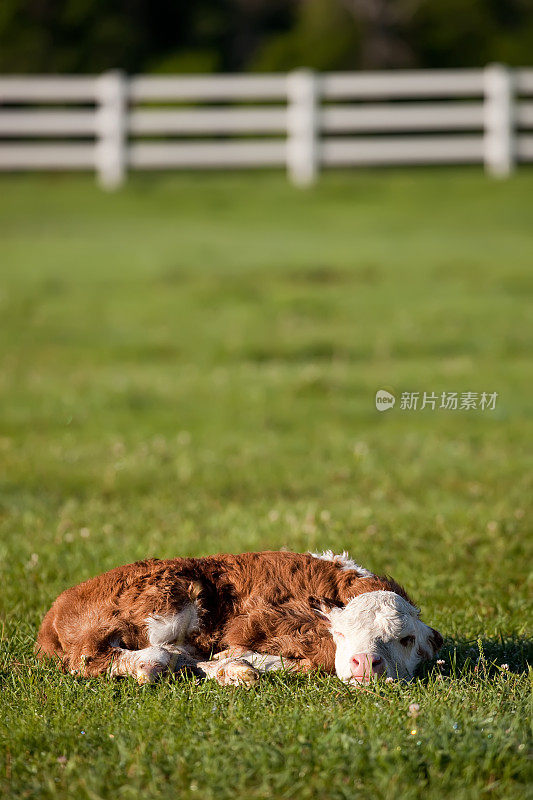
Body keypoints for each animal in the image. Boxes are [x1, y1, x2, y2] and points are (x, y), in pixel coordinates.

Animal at [37, 552, 442, 688]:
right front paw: (239, 660)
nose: (364, 663)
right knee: (93, 659)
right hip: (169, 599)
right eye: (341, 634)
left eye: (406, 639)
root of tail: (55, 609)